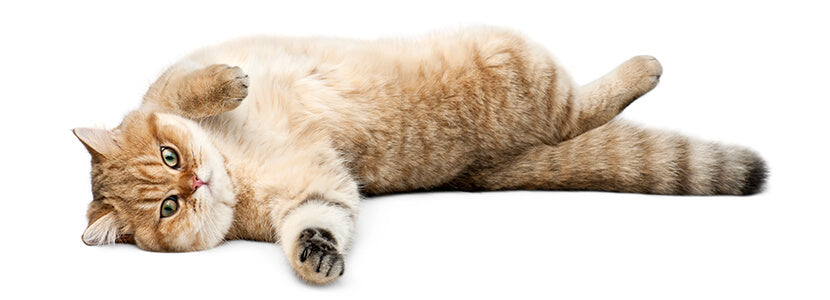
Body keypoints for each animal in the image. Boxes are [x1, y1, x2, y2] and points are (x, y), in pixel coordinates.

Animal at [75, 25, 772, 284]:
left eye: (170, 157)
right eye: (167, 208)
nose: (196, 183)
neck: (235, 168)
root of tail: (482, 167)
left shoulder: (167, 83)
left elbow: (188, 87)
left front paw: (231, 82)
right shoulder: (313, 188)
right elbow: (318, 220)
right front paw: (315, 255)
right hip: (523, 71)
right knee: (582, 107)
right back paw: (644, 65)